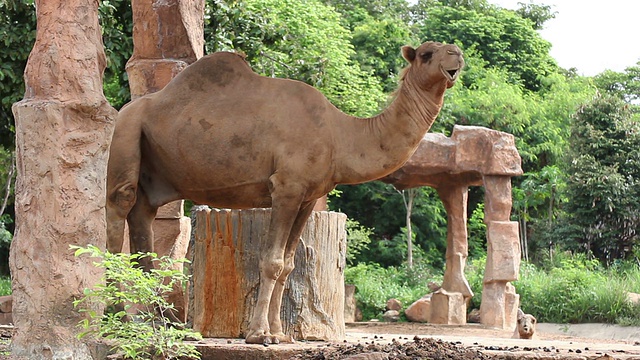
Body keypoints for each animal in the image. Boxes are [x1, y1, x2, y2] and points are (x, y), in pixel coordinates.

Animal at [107, 40, 462, 344]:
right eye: (427, 54)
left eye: (448, 49)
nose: (456, 55)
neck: (340, 135)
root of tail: (127, 109)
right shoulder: (287, 187)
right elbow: (272, 261)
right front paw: (258, 335)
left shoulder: (307, 196)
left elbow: (289, 265)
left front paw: (280, 333)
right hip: (125, 131)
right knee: (118, 209)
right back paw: (116, 317)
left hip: (152, 172)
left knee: (142, 219)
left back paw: (152, 324)